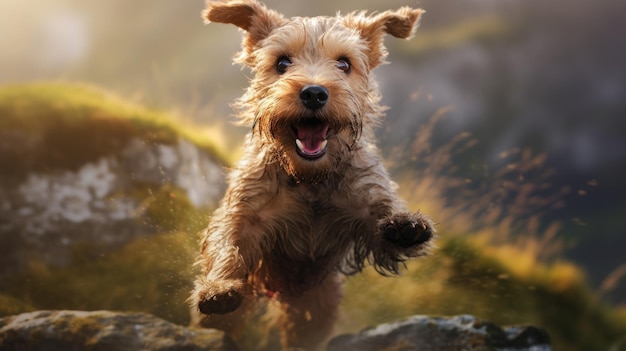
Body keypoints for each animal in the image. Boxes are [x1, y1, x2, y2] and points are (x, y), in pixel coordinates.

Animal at [189, 1, 434, 350]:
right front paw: (220, 286)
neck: (309, 178)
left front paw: (405, 227)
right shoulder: (247, 211)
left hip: (316, 305)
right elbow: (229, 243)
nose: (314, 93)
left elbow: (382, 221)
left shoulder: (364, 204)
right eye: (282, 62)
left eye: (344, 63)